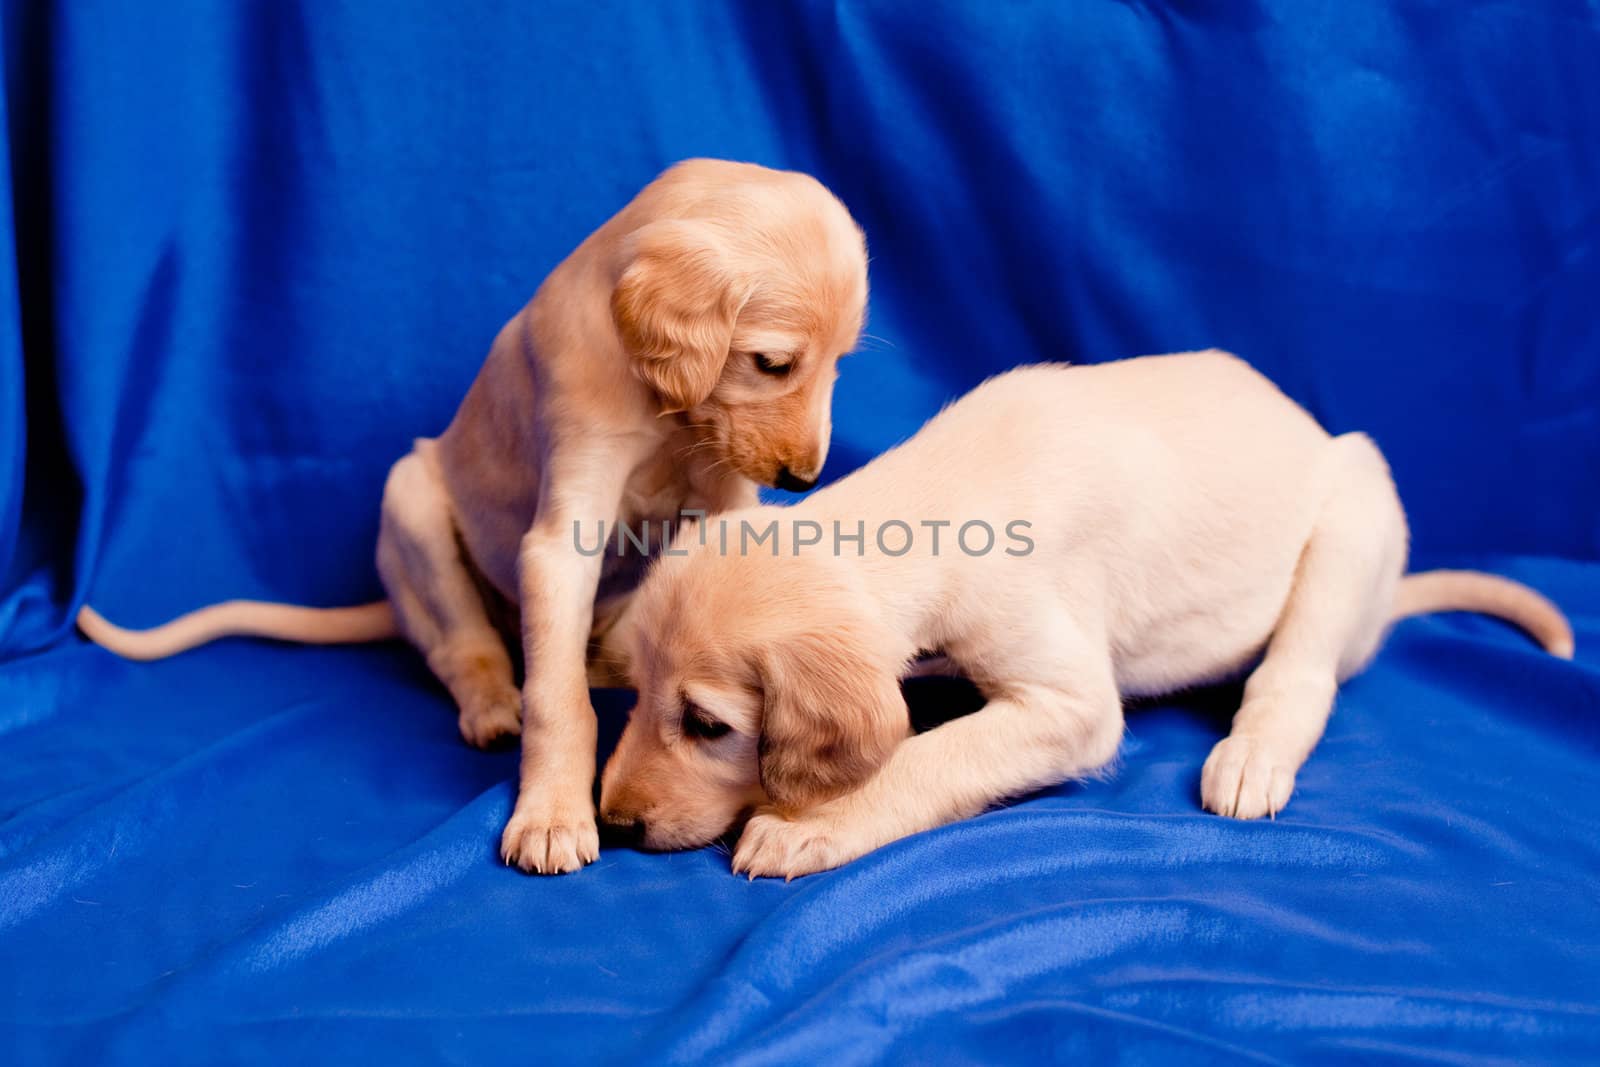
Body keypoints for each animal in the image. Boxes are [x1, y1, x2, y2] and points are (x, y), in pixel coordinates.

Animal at [75, 160, 870, 876]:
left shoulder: (725, 497)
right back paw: (492, 704)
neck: (666, 409)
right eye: (772, 363)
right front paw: (552, 814)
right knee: (465, 648)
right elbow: (556, 698)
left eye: (839, 365)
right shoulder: (562, 531)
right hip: (413, 507)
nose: (804, 477)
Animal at [601, 350, 1574, 876]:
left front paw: (811, 822)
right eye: (639, 695)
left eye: (708, 724)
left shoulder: (1071, 704)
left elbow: (925, 756)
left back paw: (1252, 756)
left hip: (1353, 511)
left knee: (1297, 677)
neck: (932, 503)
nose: (614, 820)